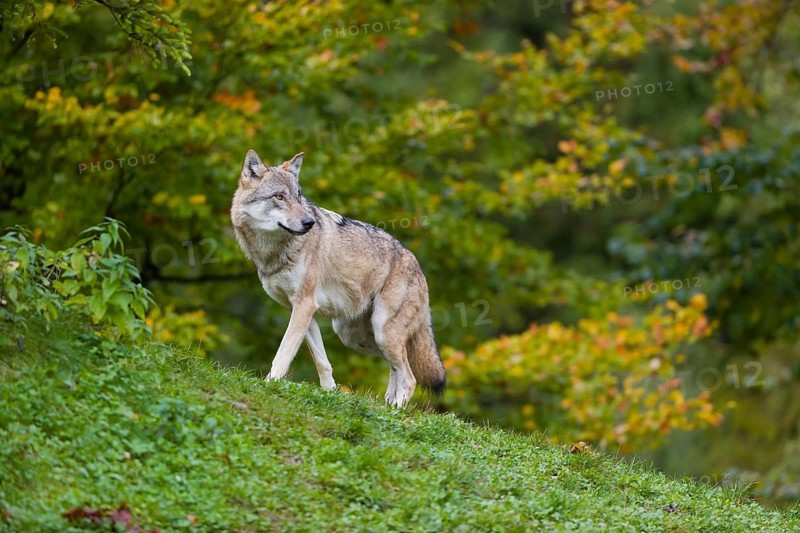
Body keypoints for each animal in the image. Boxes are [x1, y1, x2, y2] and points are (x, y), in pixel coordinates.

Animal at [230, 150, 445, 407]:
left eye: (299, 197)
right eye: (279, 197)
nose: (309, 223)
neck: (272, 252)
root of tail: (417, 266)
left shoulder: (304, 305)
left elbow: (283, 352)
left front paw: (269, 384)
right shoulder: (302, 309)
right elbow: (322, 361)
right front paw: (329, 393)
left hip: (382, 332)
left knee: (410, 377)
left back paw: (396, 411)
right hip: (355, 336)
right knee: (397, 369)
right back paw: (387, 405)